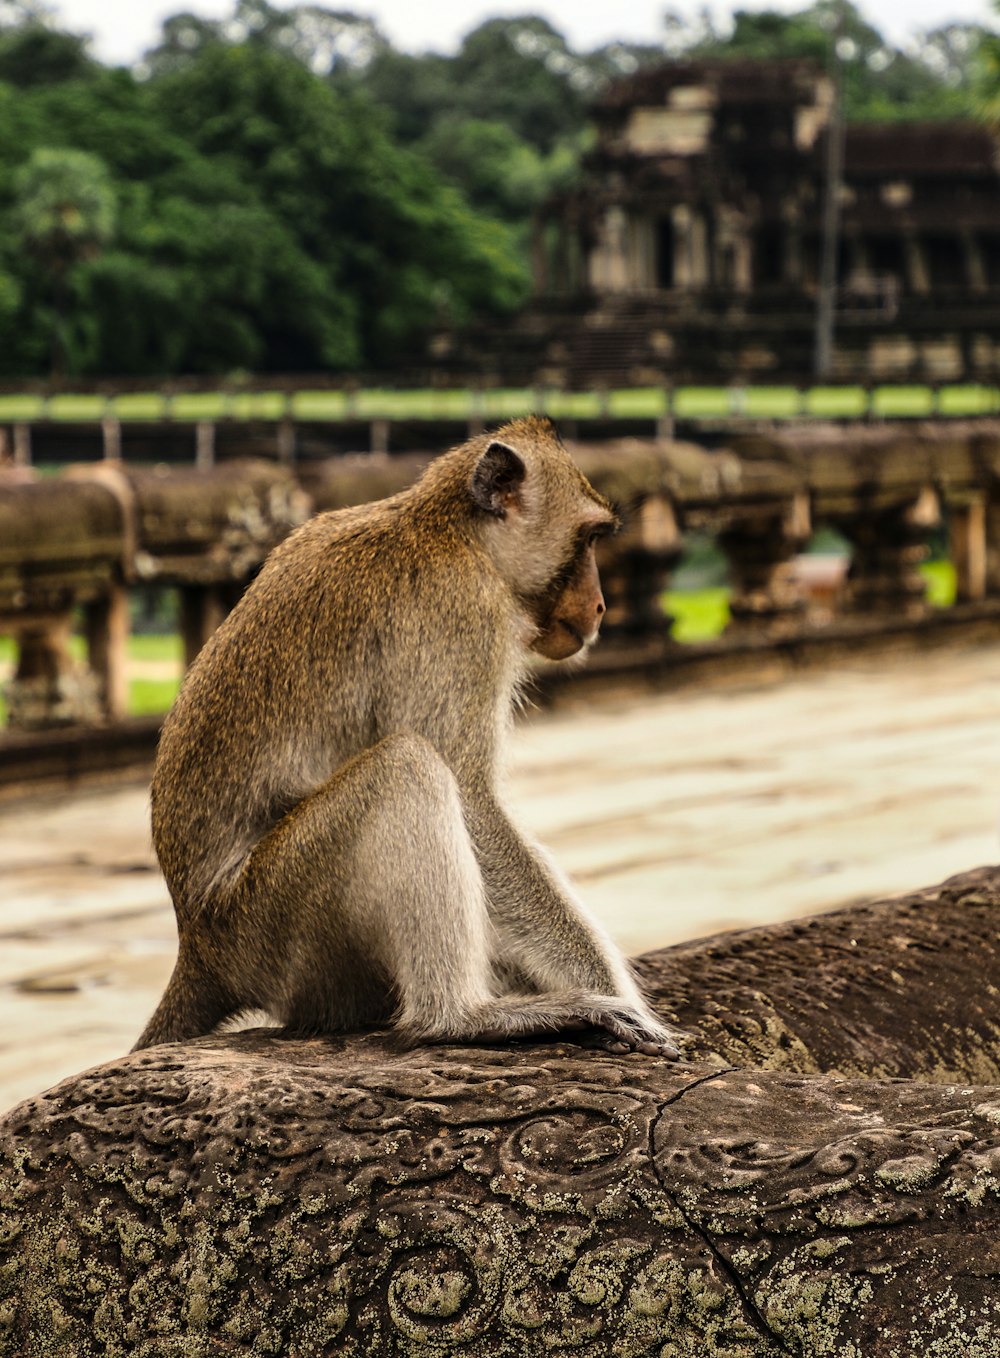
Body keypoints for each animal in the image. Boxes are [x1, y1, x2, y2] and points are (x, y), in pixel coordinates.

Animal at [134, 415, 679, 1059]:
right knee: (405, 767)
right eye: (590, 538)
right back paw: (462, 1017)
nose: (599, 605)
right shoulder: (463, 619)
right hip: (271, 926)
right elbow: (473, 802)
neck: (451, 532)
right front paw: (617, 997)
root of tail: (198, 948)